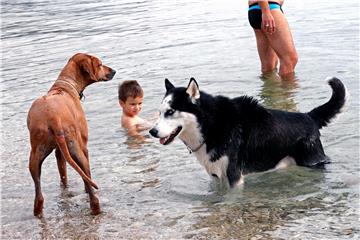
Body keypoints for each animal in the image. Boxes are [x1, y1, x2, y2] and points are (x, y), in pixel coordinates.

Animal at [27, 53, 116, 218]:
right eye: (100, 64)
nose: (114, 71)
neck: (66, 86)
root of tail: (53, 117)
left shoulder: (59, 152)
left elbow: (63, 175)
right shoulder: (84, 145)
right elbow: (86, 178)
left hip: (36, 153)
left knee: (39, 196)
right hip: (76, 148)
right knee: (91, 190)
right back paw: (96, 208)